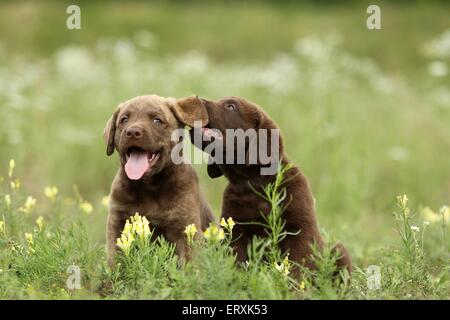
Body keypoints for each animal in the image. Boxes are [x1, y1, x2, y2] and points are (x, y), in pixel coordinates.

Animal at [104, 94, 215, 264]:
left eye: (157, 120)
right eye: (124, 120)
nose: (132, 132)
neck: (148, 186)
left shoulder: (186, 228)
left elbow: (189, 265)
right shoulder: (117, 223)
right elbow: (115, 261)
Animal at [190, 95, 352, 276]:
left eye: (231, 106)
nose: (197, 99)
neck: (255, 182)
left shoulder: (299, 230)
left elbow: (298, 265)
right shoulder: (237, 231)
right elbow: (238, 260)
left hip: (339, 251)